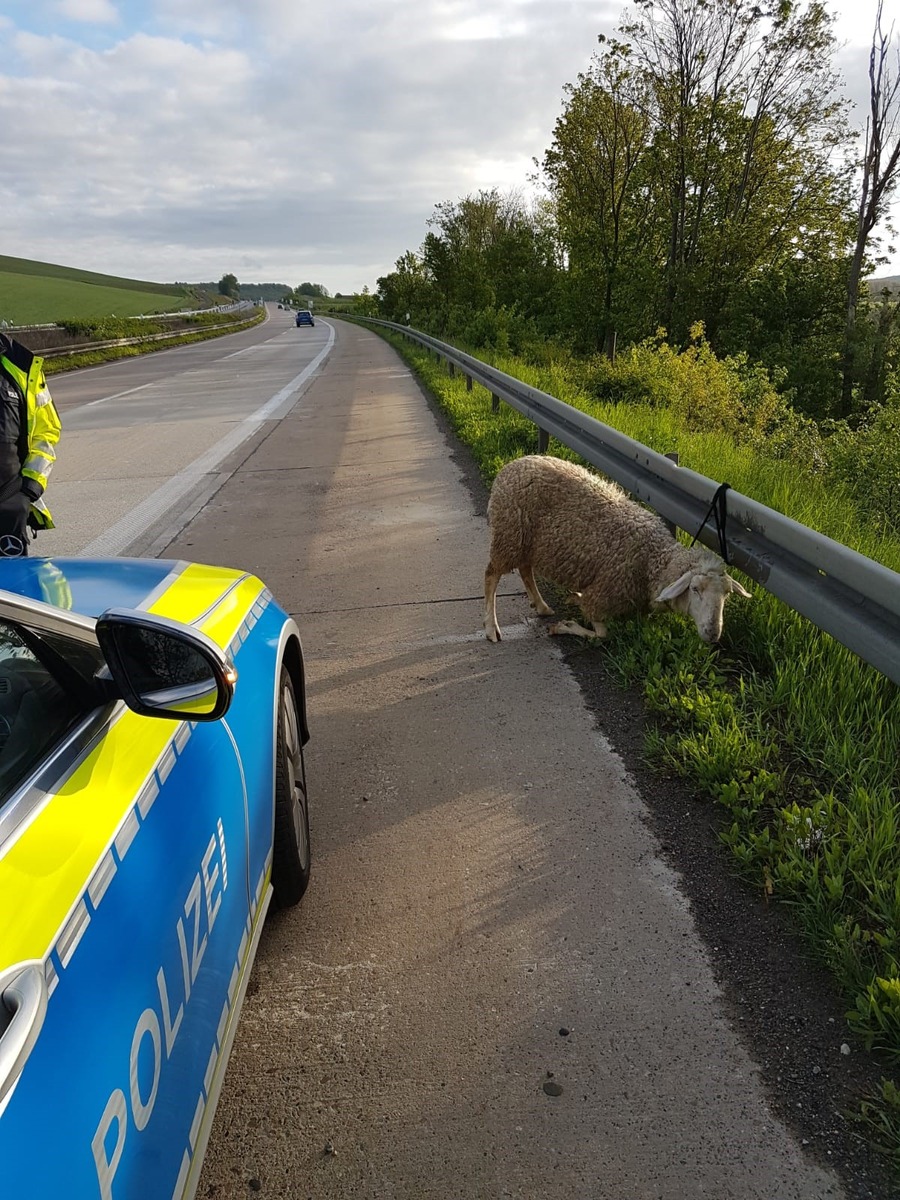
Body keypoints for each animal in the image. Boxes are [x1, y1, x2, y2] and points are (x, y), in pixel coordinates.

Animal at [482, 456, 748, 648]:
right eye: (695, 589)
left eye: (726, 594)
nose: (713, 633)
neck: (652, 559)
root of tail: (512, 466)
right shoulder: (601, 596)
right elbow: (602, 633)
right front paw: (565, 624)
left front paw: (571, 601)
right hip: (510, 533)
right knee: (492, 575)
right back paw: (491, 627)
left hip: (525, 541)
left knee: (525, 569)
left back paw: (541, 605)